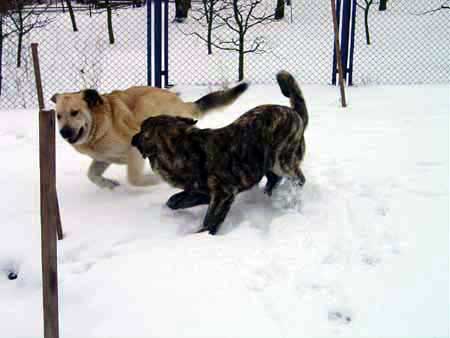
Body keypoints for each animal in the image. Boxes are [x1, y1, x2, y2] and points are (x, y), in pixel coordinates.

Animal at [53, 83, 250, 189]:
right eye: (58, 116)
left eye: (75, 112)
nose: (64, 132)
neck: (100, 125)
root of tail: (182, 102)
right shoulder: (103, 158)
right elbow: (92, 175)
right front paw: (109, 185)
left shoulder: (133, 150)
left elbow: (134, 179)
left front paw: (154, 181)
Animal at [132, 71, 308, 235]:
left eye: (141, 129)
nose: (133, 137)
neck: (187, 149)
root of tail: (295, 113)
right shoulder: (203, 191)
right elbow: (175, 200)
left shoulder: (223, 194)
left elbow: (211, 220)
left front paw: (202, 236)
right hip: (267, 164)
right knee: (274, 179)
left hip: (282, 160)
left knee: (298, 178)